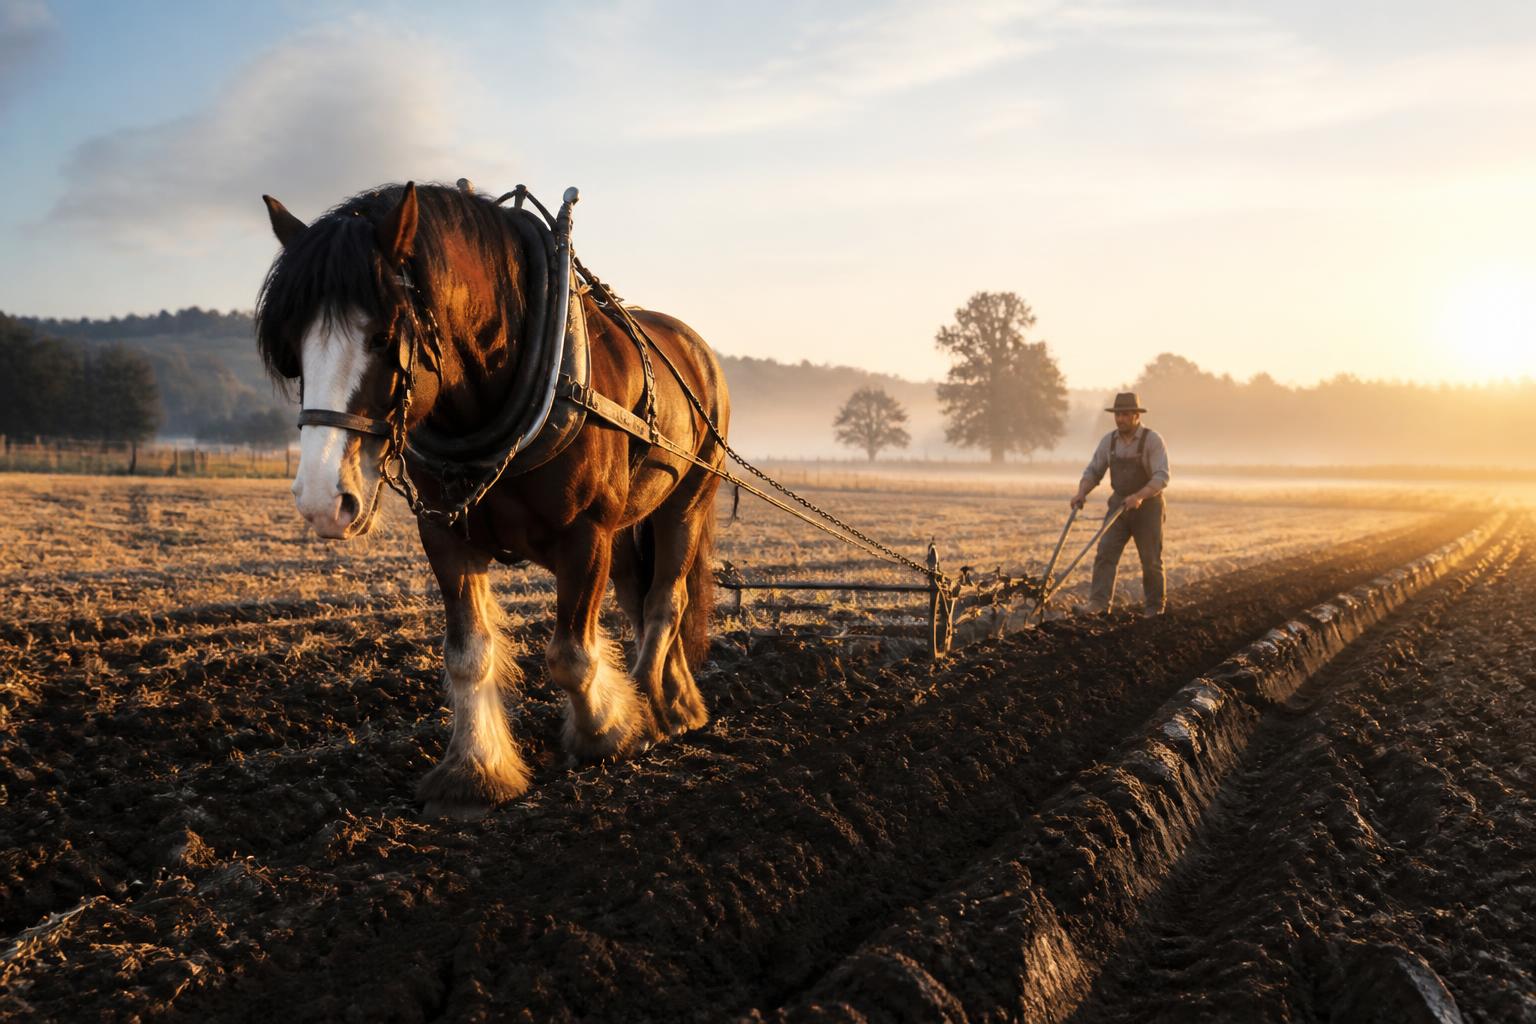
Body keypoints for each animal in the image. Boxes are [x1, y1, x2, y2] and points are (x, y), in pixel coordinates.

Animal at [255, 181, 729, 819]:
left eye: (384, 336)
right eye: (295, 345)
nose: (320, 500)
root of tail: (696, 348)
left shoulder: (587, 535)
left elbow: (570, 655)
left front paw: (607, 731)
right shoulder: (446, 537)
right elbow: (467, 652)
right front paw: (474, 773)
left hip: (688, 501)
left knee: (666, 600)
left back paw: (656, 707)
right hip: (632, 523)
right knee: (639, 593)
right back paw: (676, 703)